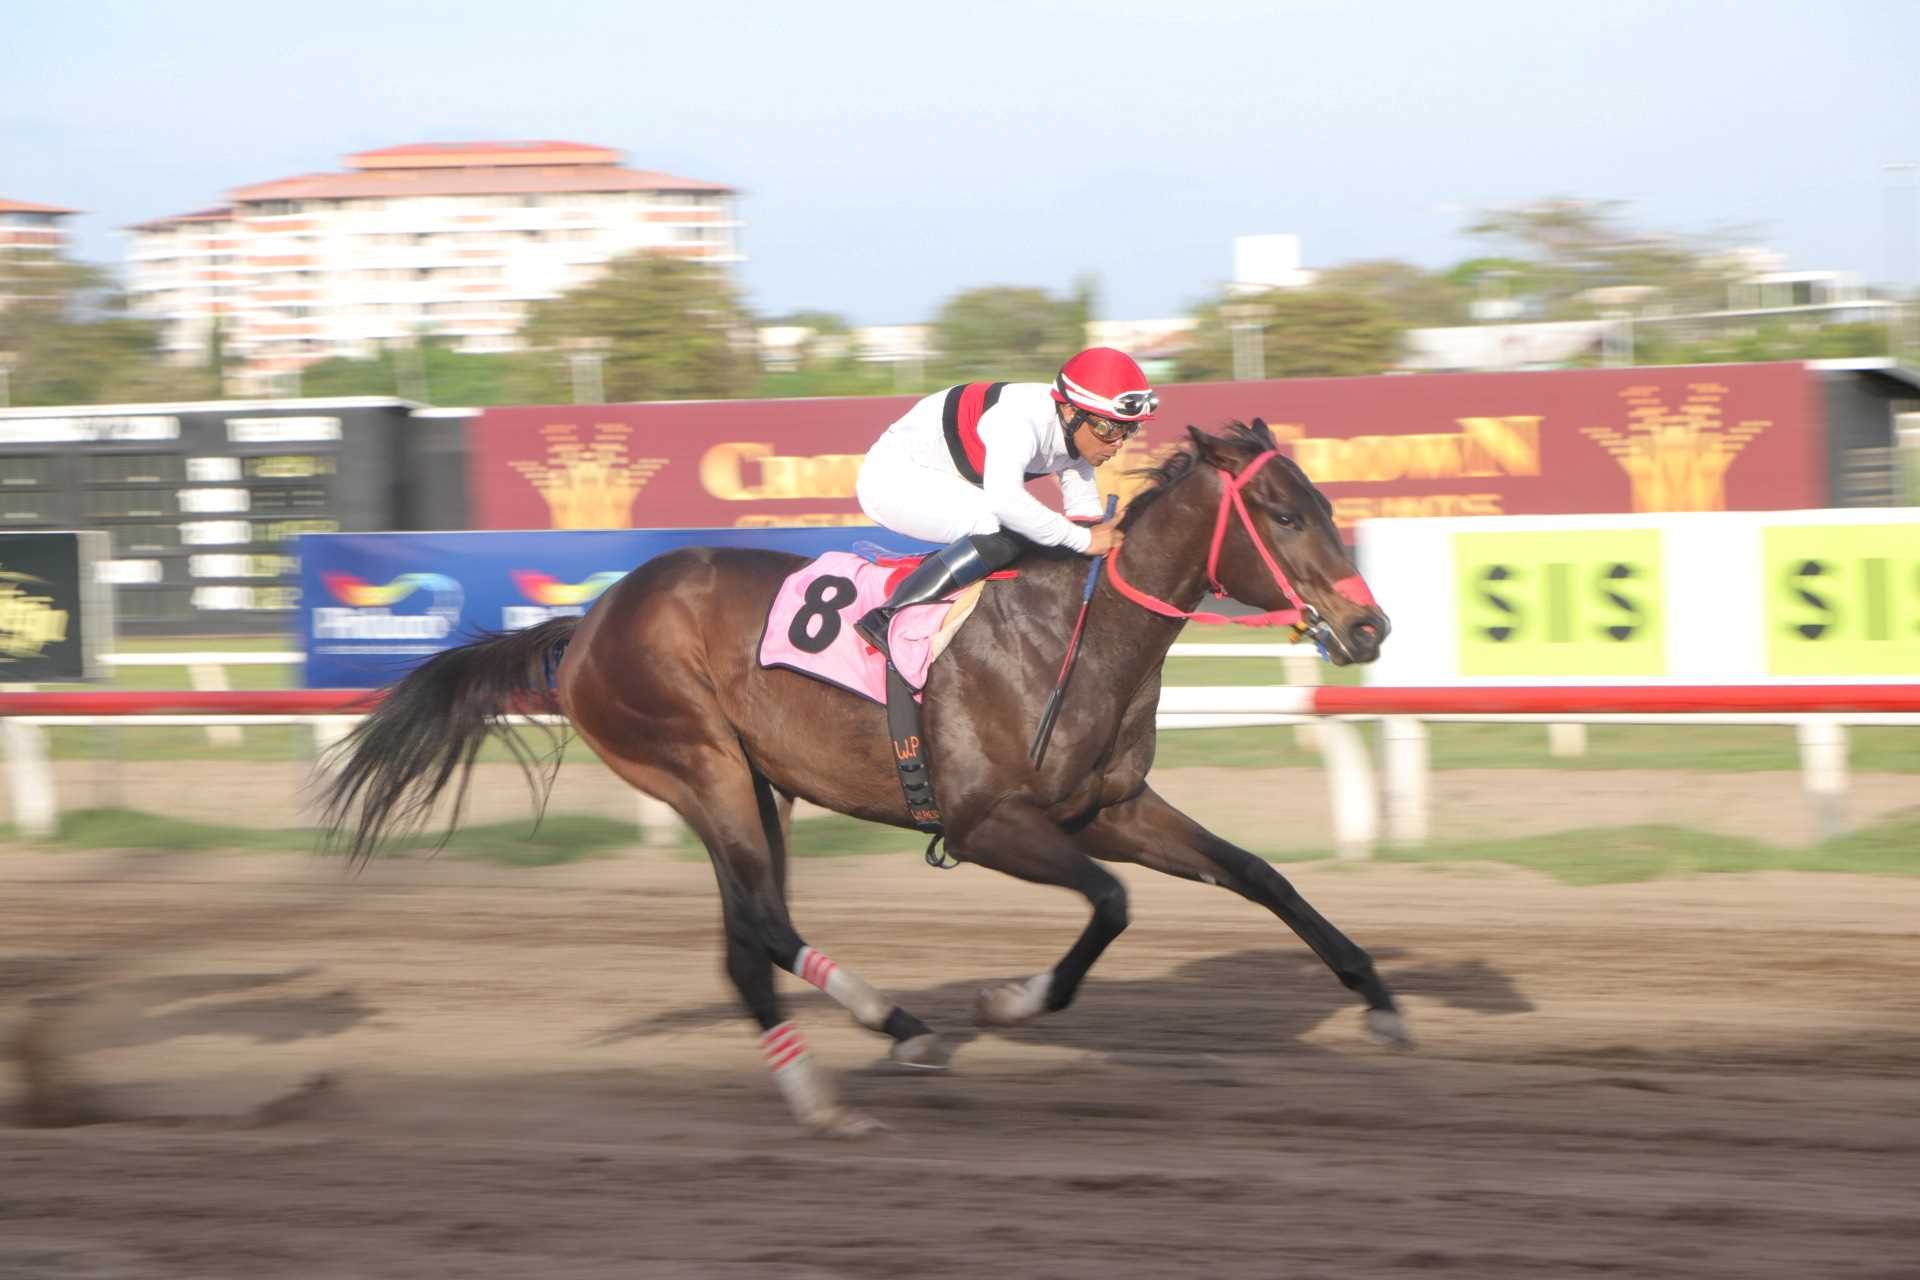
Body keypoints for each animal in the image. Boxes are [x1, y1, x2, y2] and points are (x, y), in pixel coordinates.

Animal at [322, 418, 1404, 1136]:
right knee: (765, 924)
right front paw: (1009, 1003)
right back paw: (895, 1032)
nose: (1369, 628)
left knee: (746, 940)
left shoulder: (1110, 807)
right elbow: (1110, 903)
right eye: (1280, 512)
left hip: (751, 782)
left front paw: (1379, 998)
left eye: (1325, 504)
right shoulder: (984, 821)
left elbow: (1259, 873)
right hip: (697, 760)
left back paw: (818, 1083)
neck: (1074, 633)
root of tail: (587, 620)